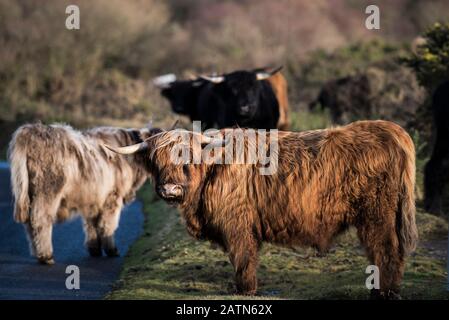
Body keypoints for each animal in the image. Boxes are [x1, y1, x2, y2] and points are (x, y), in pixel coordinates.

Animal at [107, 119, 416, 298]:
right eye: (155, 161)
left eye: (188, 158)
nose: (170, 189)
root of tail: (392, 130)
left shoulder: (238, 225)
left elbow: (243, 258)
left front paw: (245, 290)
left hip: (377, 214)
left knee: (386, 249)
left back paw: (385, 292)